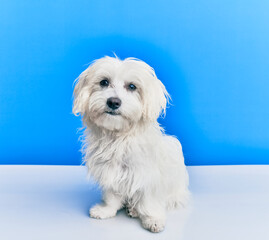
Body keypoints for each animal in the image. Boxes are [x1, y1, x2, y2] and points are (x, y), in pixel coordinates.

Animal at [73, 55, 188, 232]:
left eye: (132, 86)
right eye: (104, 82)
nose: (113, 102)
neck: (119, 137)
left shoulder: (148, 176)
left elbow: (149, 200)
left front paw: (153, 218)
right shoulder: (110, 171)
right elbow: (112, 196)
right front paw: (106, 210)